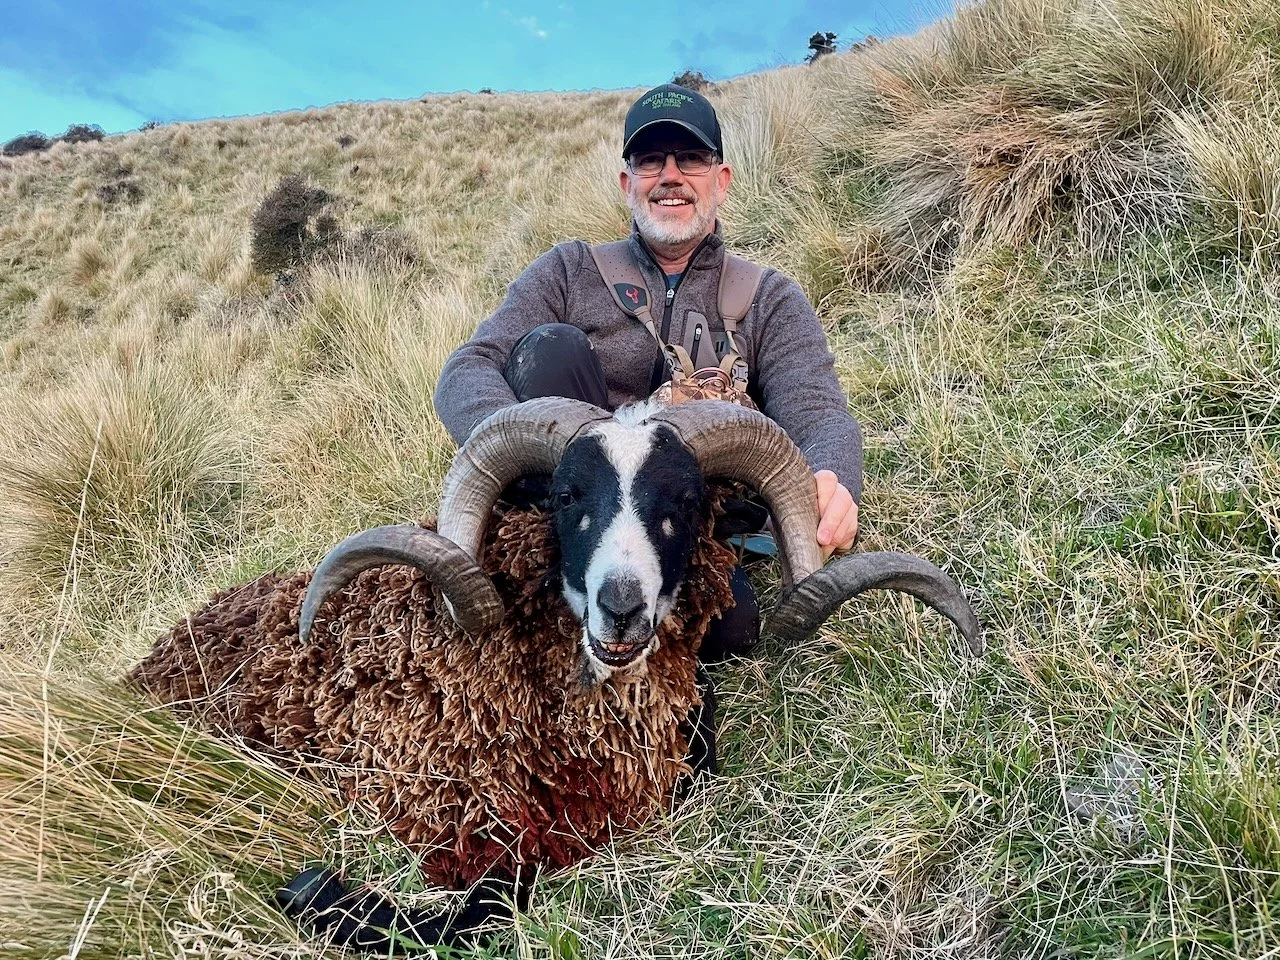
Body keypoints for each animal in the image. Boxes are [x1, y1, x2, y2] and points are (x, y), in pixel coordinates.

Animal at [131, 397, 982, 952]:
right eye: (569, 497)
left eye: (686, 501)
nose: (621, 606)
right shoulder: (439, 815)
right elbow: (495, 901)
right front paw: (319, 895)